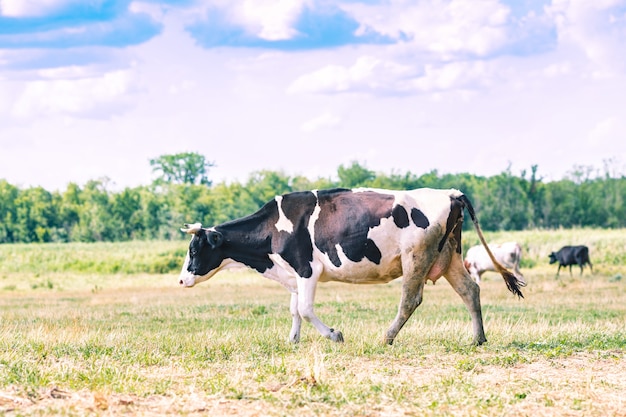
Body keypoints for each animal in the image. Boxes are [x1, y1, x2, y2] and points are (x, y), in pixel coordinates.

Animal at [178, 188, 524, 344]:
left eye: (194, 249)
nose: (181, 281)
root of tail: (450, 192)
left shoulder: (307, 269)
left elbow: (305, 308)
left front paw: (334, 334)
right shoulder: (293, 273)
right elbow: (294, 309)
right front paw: (292, 340)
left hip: (417, 257)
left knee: (410, 299)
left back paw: (386, 337)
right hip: (449, 256)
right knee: (470, 290)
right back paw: (478, 338)